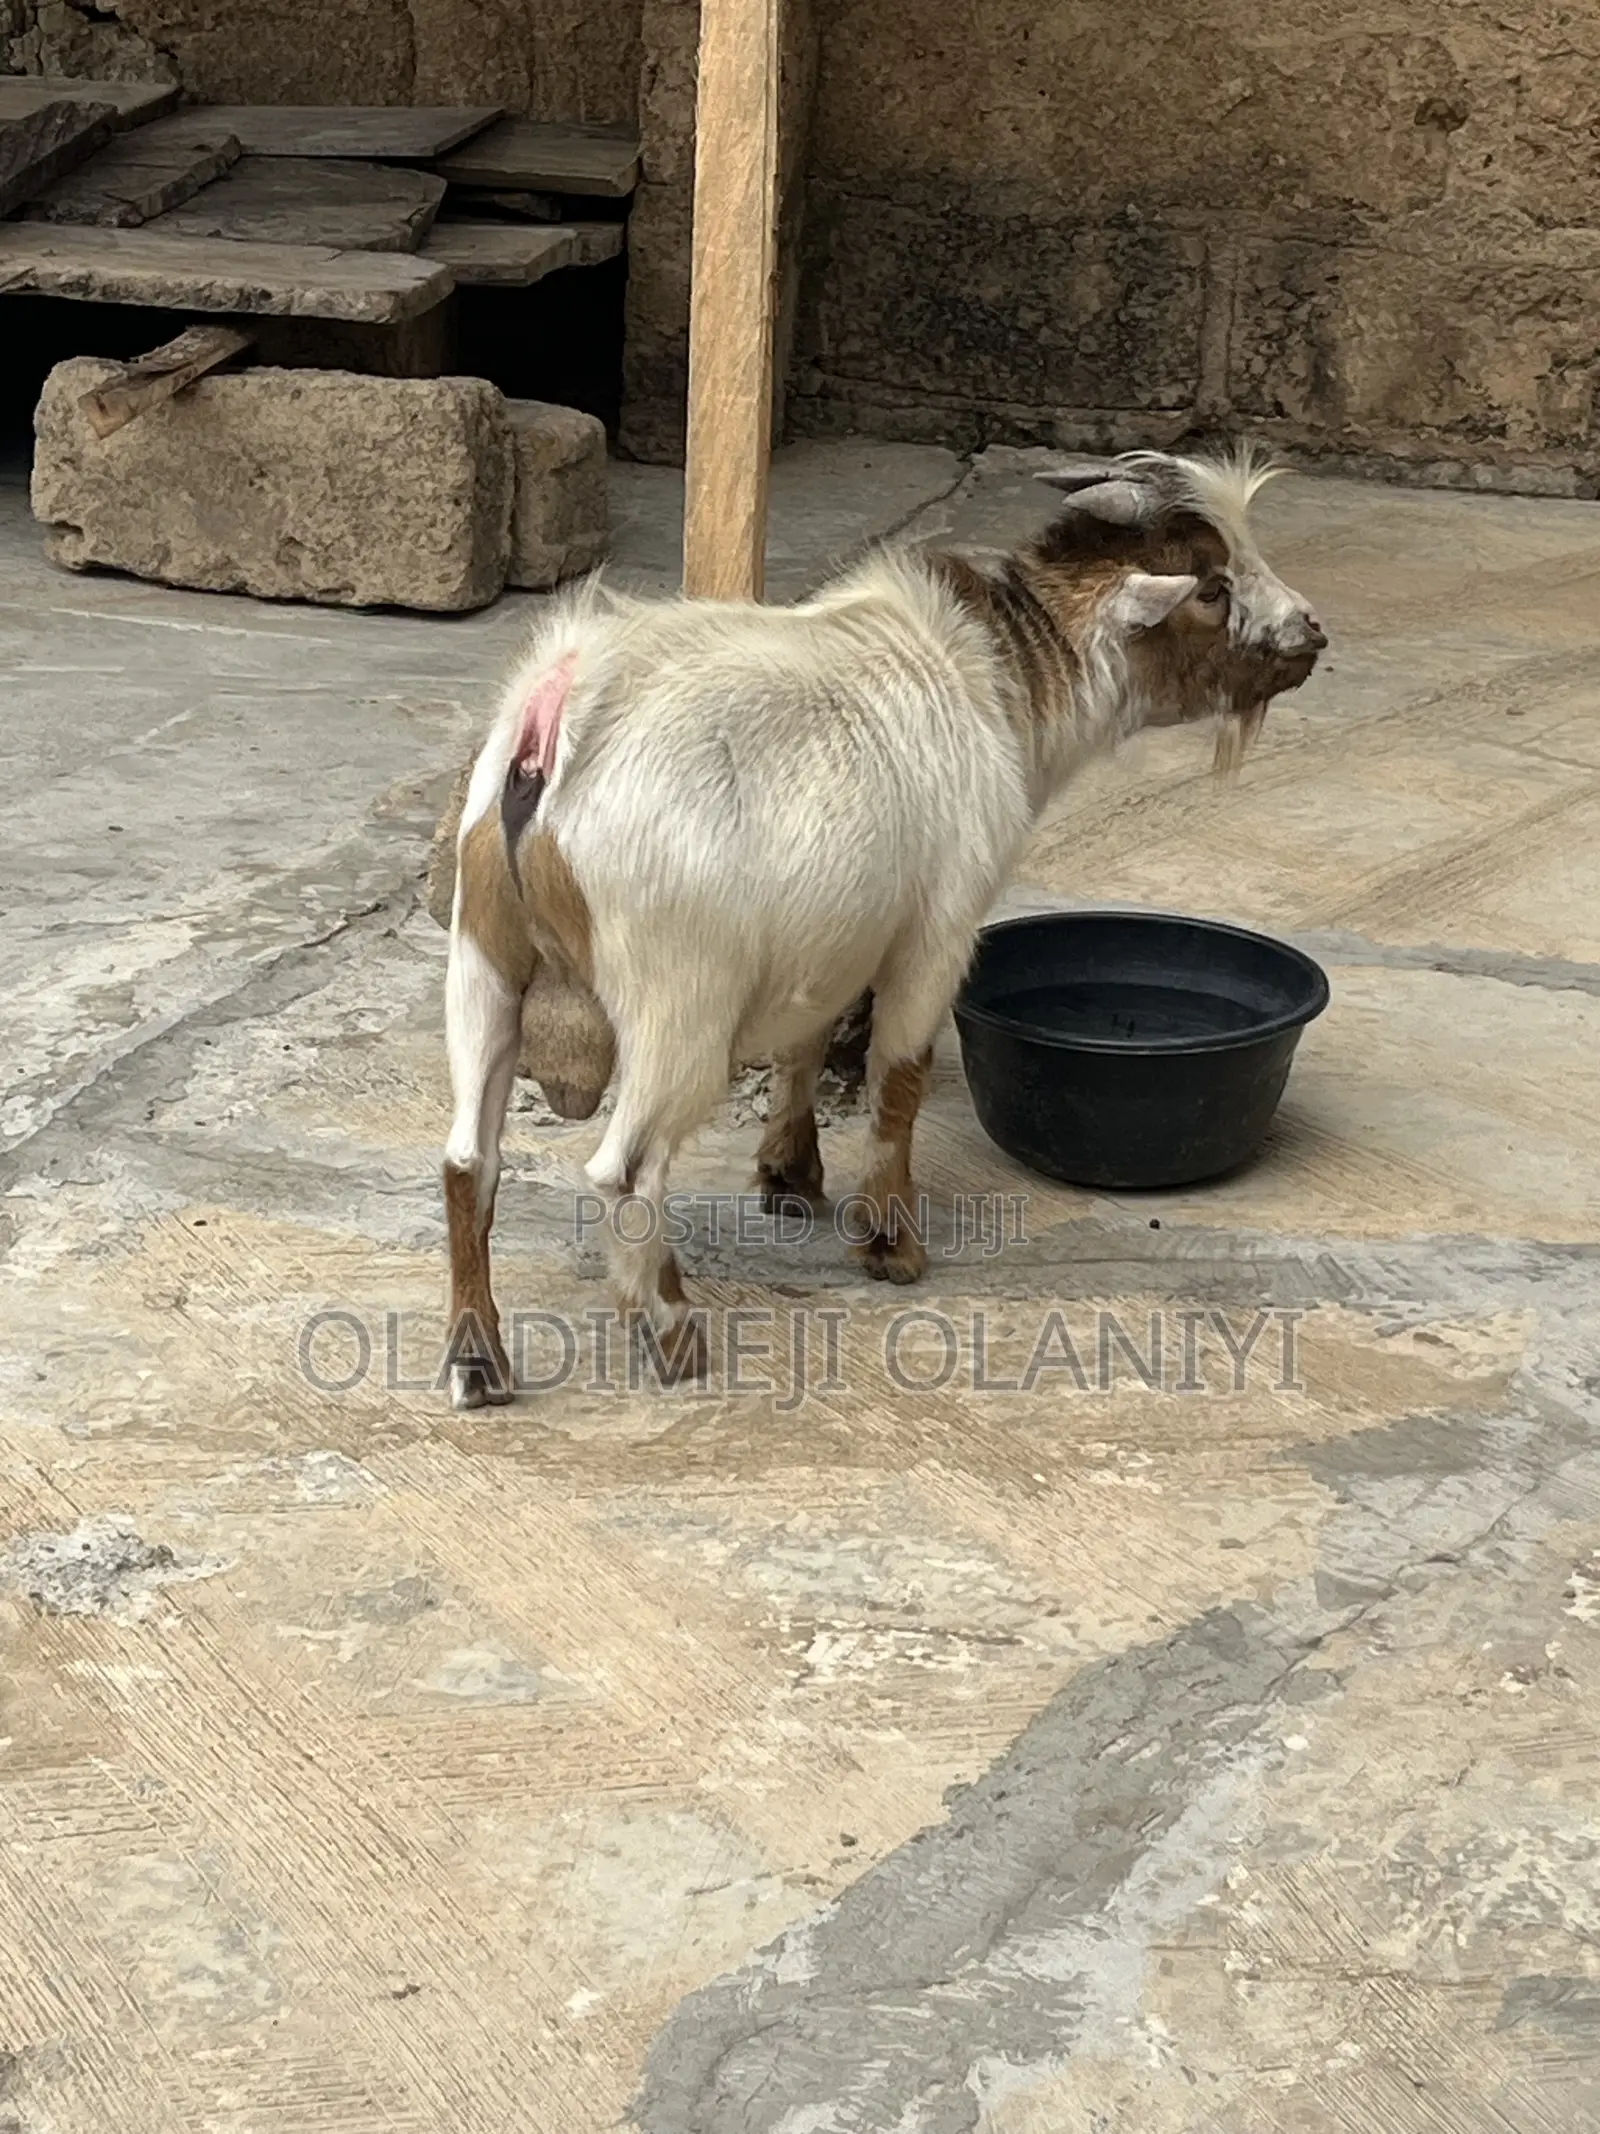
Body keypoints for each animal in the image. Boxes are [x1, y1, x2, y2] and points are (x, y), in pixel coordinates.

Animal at [442, 446, 1326, 1409]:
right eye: (1211, 587)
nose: (1312, 632)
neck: (998, 676)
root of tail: (552, 723)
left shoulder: (831, 935)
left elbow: (803, 1042)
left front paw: (790, 1177)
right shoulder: (937, 930)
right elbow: (898, 1077)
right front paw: (891, 1246)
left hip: (482, 962)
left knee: (467, 1161)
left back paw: (478, 1363)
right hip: (678, 998)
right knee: (624, 1169)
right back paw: (672, 1332)